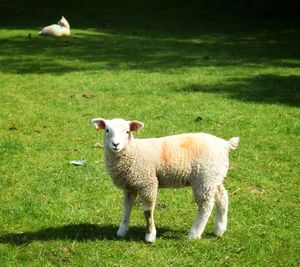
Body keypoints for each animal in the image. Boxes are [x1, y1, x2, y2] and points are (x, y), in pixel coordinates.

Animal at [91, 118, 239, 244]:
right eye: (107, 130)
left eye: (127, 131)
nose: (115, 144)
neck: (133, 150)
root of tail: (225, 144)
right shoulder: (130, 186)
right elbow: (127, 208)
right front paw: (122, 230)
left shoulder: (147, 182)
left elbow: (148, 211)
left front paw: (150, 236)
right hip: (214, 177)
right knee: (222, 198)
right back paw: (219, 229)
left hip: (204, 179)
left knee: (206, 206)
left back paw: (194, 234)